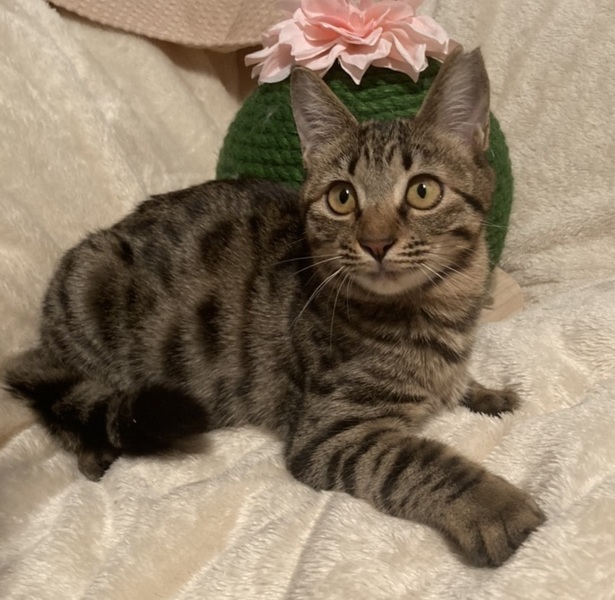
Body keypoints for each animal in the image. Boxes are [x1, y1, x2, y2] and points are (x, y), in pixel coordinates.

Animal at [3, 48, 545, 567]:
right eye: (342, 197)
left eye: (423, 190)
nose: (376, 243)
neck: (436, 309)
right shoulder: (327, 433)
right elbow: (420, 462)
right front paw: (497, 507)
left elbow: (458, 384)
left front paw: (484, 392)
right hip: (90, 288)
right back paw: (95, 448)